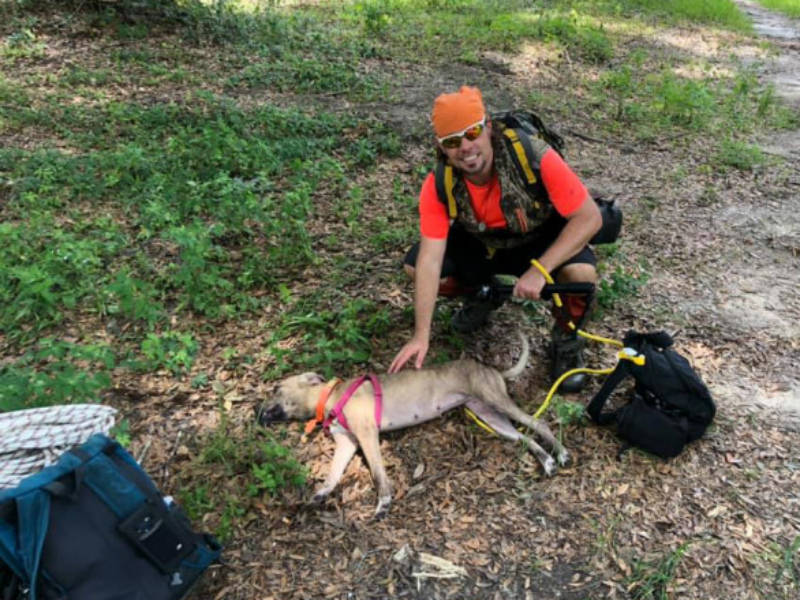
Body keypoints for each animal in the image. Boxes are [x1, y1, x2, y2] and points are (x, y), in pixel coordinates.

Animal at [258, 336, 568, 516]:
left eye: (276, 388)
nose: (255, 411)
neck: (330, 396)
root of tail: (490, 368)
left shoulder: (367, 434)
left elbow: (378, 473)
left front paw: (384, 502)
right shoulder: (347, 443)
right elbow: (332, 475)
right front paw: (320, 494)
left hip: (496, 400)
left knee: (538, 423)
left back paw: (561, 453)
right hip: (488, 415)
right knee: (524, 438)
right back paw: (546, 461)